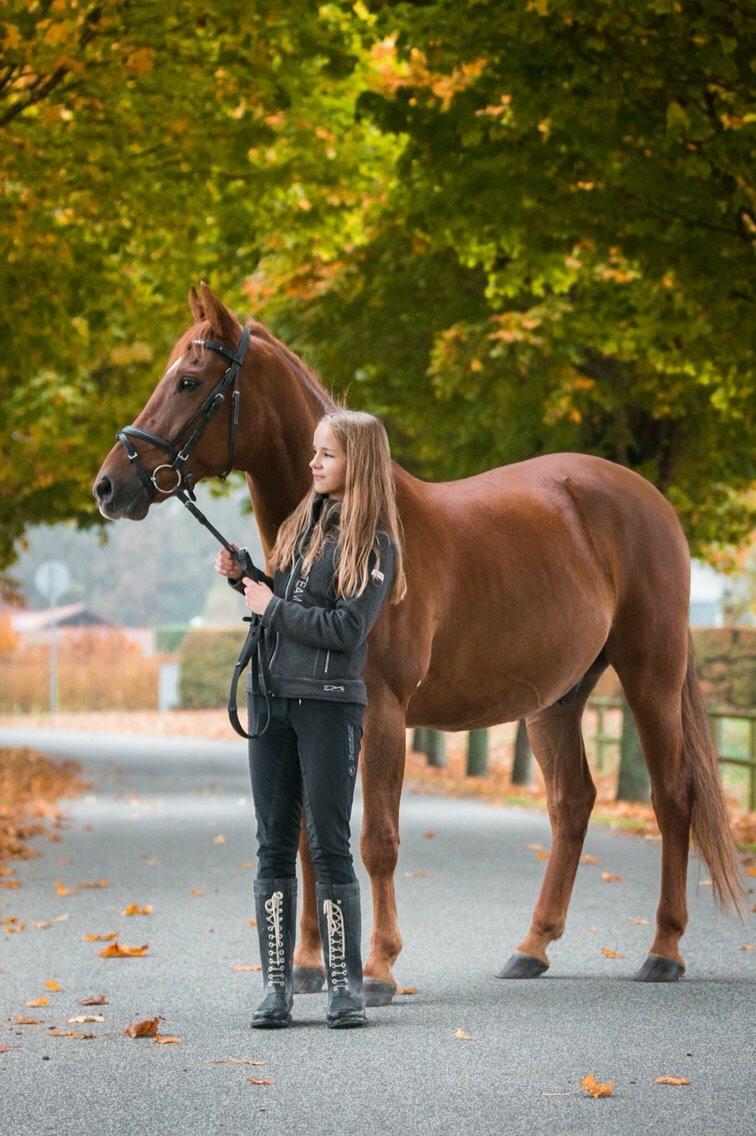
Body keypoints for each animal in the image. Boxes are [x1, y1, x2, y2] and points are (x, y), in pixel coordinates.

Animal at [94, 284, 741, 1004]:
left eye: (188, 379)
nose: (109, 485)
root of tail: (650, 500)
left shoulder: (381, 712)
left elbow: (378, 839)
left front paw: (377, 969)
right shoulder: (310, 715)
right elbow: (310, 836)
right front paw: (313, 967)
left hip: (650, 674)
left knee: (673, 796)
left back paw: (664, 950)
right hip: (557, 698)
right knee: (572, 804)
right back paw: (531, 947)